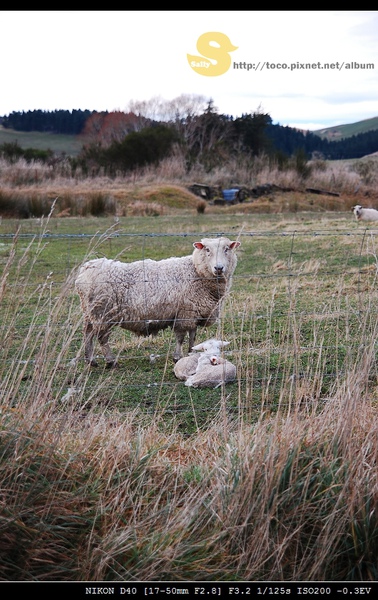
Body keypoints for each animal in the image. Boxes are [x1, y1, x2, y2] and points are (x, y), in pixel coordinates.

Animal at [74, 237, 239, 368]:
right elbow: (180, 338)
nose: (219, 268)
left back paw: (90, 360)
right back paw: (110, 361)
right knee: (102, 338)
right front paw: (177, 357)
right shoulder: (184, 313)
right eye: (207, 249)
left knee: (87, 333)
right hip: (102, 313)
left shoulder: (193, 312)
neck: (196, 272)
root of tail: (86, 269)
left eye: (226, 249)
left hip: (90, 312)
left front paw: (192, 353)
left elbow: (193, 336)